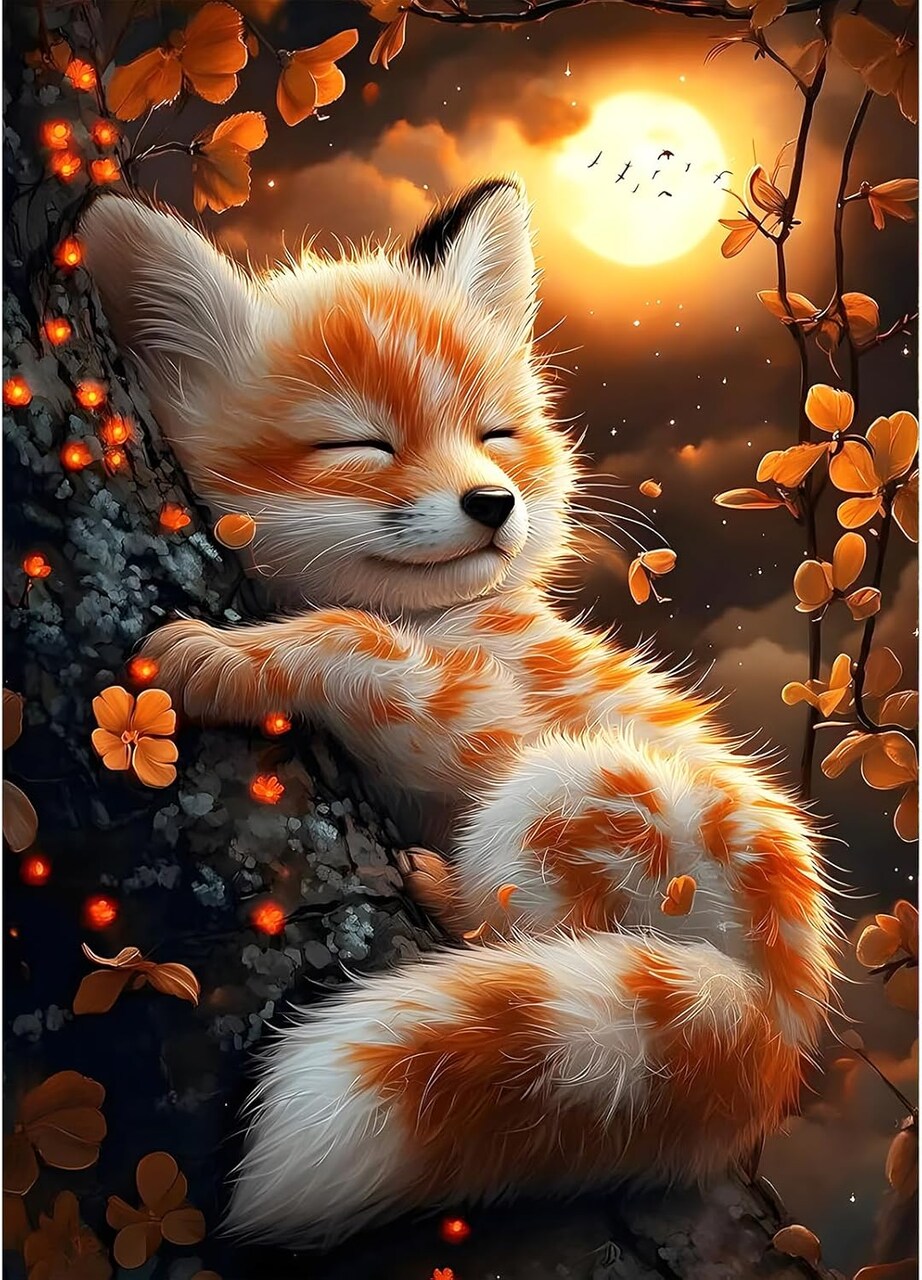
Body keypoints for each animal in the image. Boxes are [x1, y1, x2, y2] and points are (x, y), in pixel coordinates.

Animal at [81, 179, 839, 1249]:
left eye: (494, 433)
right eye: (359, 443)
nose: (494, 503)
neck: (453, 619)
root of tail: (784, 1016)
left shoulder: (483, 709)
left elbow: (352, 638)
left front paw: (228, 657)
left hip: (557, 789)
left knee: (525, 928)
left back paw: (450, 894)